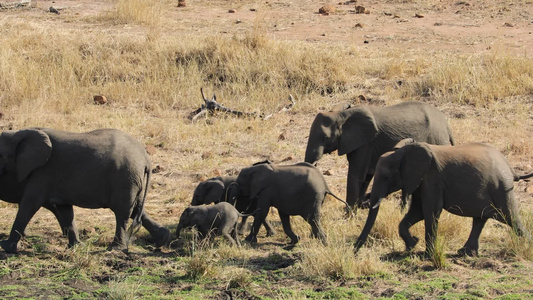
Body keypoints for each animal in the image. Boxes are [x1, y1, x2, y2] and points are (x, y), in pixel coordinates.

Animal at [0, 127, 169, 253]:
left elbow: (29, 205)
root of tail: (146, 159)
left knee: (122, 213)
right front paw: (75, 247)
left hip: (125, 178)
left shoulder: (42, 172)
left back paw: (116, 249)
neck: (18, 134)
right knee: (135, 210)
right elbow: (66, 210)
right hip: (134, 180)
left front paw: (6, 247)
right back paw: (163, 239)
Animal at [304, 102, 454, 214]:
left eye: (324, 138)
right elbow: (366, 176)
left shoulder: (365, 144)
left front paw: (348, 215)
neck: (341, 115)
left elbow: (356, 175)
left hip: (437, 141)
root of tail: (446, 125)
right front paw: (359, 207)